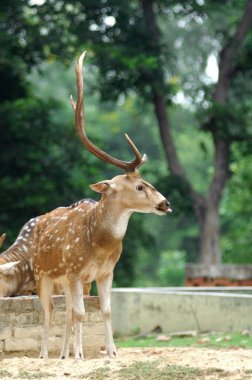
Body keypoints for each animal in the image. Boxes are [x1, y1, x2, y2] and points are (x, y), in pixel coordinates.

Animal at [33, 50, 171, 360]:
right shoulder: (74, 270)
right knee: (48, 311)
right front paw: (81, 355)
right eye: (139, 186)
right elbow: (82, 313)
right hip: (41, 273)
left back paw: (62, 353)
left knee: (65, 312)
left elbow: (105, 312)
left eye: (148, 181)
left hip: (66, 280)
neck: (99, 244)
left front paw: (111, 352)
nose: (166, 203)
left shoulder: (106, 272)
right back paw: (45, 354)